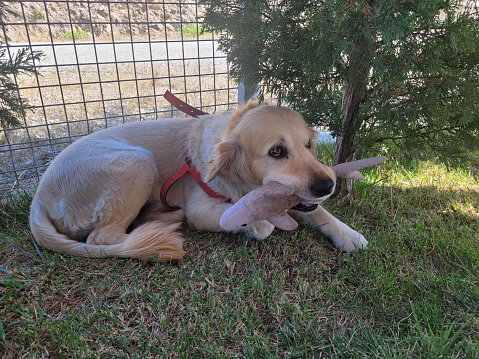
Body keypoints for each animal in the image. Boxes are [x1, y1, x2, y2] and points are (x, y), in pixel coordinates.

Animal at [29, 101, 368, 262]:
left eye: (308, 145)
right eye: (276, 151)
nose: (327, 186)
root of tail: (38, 199)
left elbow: (319, 211)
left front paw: (348, 233)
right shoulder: (203, 209)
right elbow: (250, 220)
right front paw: (259, 222)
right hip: (136, 162)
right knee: (102, 238)